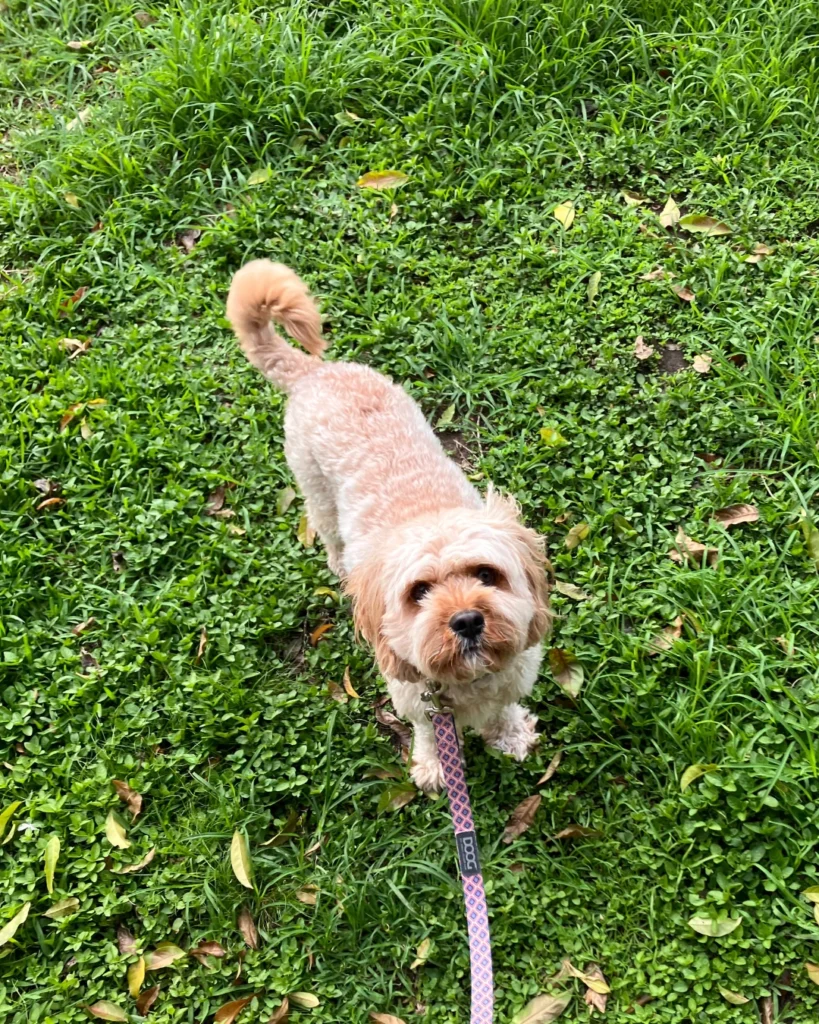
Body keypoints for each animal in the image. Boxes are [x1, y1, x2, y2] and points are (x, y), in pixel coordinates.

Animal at [227, 260, 552, 786]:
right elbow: (428, 733)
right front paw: (436, 767)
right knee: (327, 532)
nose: (466, 620)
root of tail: (317, 371)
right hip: (315, 488)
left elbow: (504, 709)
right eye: (419, 592)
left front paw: (510, 735)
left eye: (487, 575)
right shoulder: (416, 698)